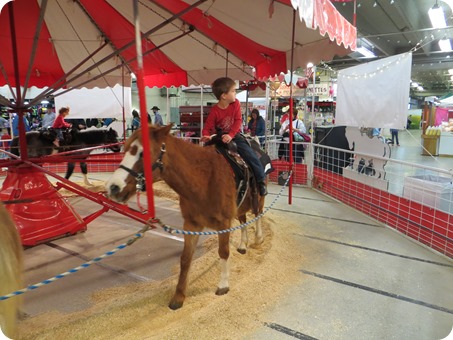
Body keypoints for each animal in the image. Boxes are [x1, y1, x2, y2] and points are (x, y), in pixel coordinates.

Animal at [106, 125, 266, 310]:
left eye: (142, 153)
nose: (113, 187)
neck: (204, 180)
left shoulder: (224, 223)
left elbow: (223, 251)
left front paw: (223, 286)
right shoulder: (191, 225)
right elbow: (185, 258)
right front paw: (179, 296)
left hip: (258, 198)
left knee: (258, 214)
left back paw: (258, 238)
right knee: (243, 220)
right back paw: (242, 245)